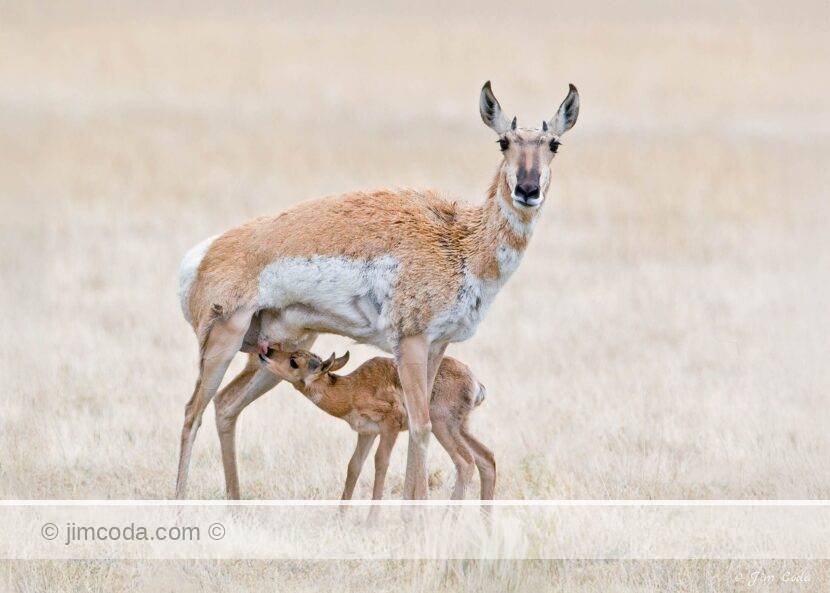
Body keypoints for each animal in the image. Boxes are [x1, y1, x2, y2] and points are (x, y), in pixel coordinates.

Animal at [257, 346, 495, 502]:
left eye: (294, 361)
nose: (266, 352)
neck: (352, 387)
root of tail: (476, 383)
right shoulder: (366, 433)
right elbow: (353, 466)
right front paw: (340, 517)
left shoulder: (390, 426)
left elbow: (381, 462)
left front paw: (371, 522)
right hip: (460, 428)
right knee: (486, 458)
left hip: (441, 426)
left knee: (465, 462)